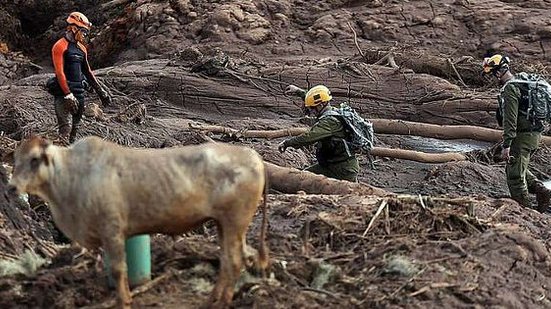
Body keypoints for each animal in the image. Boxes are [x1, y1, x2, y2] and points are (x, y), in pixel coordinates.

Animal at [6, 135, 270, 308]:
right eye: (15, 160)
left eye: (35, 159)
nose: (11, 187)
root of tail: (252, 155)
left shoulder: (111, 229)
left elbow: (118, 269)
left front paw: (124, 301)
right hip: (223, 224)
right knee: (226, 260)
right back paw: (212, 299)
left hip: (236, 222)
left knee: (234, 261)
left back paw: (222, 302)